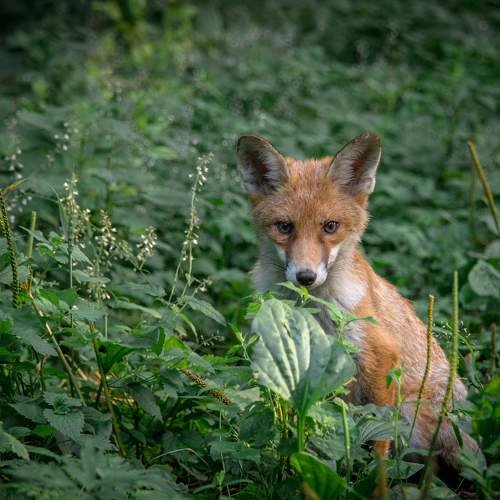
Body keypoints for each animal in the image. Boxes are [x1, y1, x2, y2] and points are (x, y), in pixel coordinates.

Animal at [237, 131, 478, 470]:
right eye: (285, 226)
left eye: (330, 226)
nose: (306, 277)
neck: (315, 312)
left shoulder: (379, 355)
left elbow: (377, 434)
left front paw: (376, 477)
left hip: (415, 413)